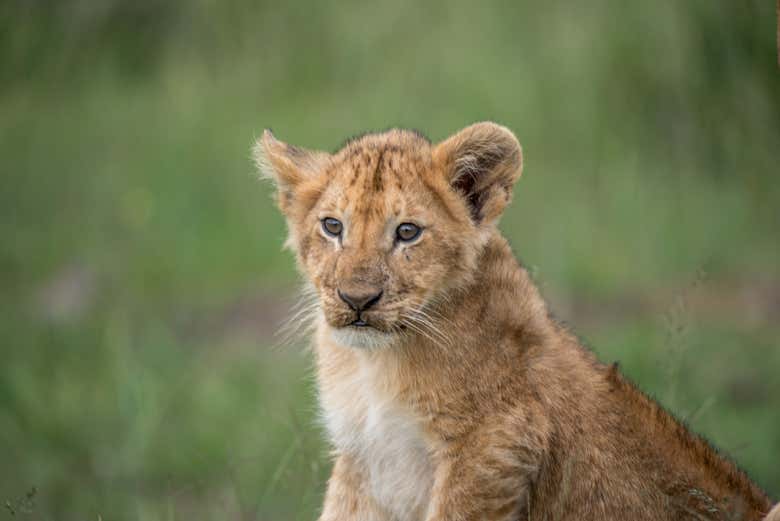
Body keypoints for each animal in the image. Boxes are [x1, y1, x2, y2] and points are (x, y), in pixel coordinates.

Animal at [254, 122, 776, 520]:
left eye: (407, 232)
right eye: (332, 226)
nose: (357, 299)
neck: (374, 365)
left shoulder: (496, 444)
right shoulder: (361, 458)